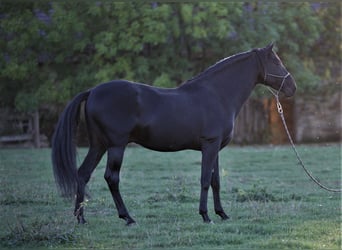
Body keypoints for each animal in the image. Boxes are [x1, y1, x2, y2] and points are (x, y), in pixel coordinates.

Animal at [51, 43, 296, 225]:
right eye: (276, 61)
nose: (292, 87)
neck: (217, 95)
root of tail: (92, 91)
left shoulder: (215, 148)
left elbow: (215, 181)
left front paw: (222, 214)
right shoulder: (209, 146)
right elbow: (205, 179)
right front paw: (205, 215)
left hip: (99, 145)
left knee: (83, 174)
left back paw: (81, 218)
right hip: (116, 146)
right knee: (111, 178)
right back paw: (127, 218)